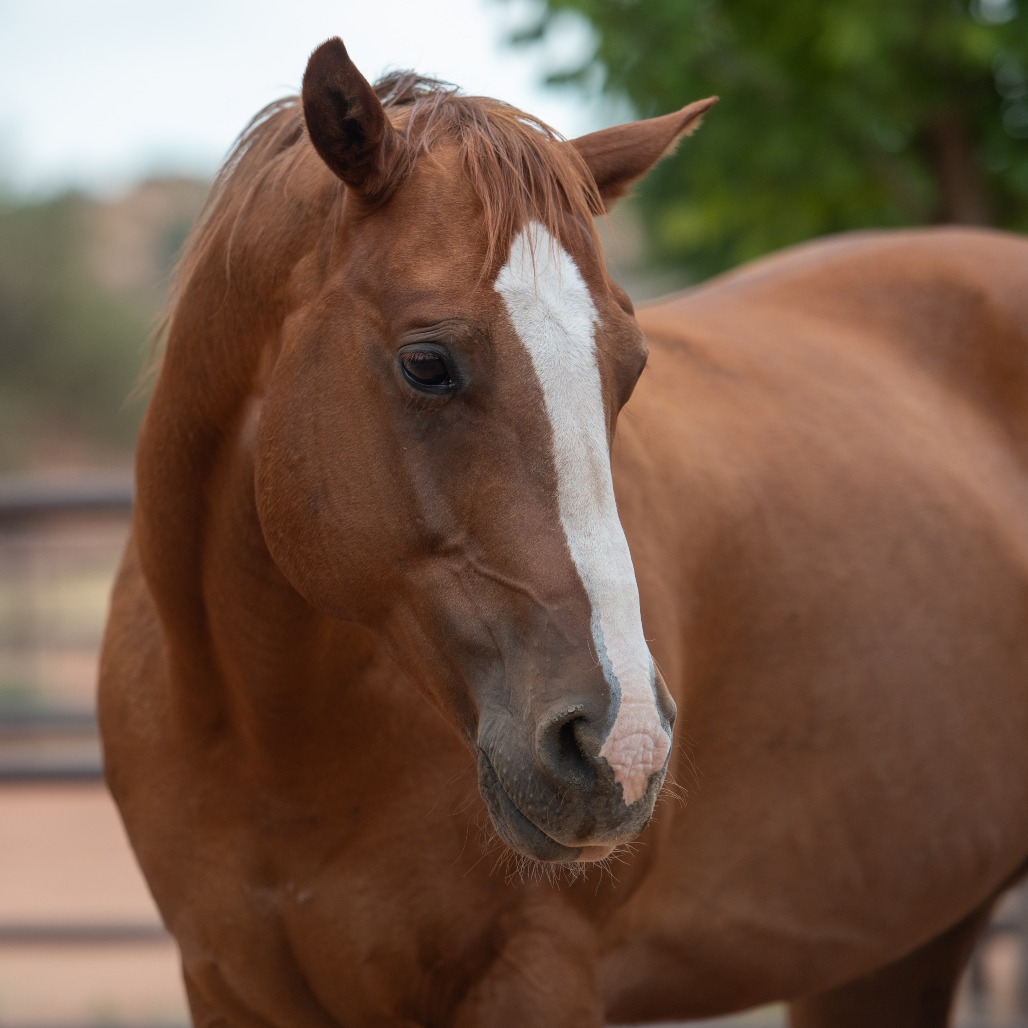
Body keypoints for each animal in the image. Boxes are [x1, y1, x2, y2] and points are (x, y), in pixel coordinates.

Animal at [99, 34, 1028, 1027]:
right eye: (426, 363)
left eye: (632, 368)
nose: (623, 748)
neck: (269, 742)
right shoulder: (223, 985)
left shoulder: (536, 973)